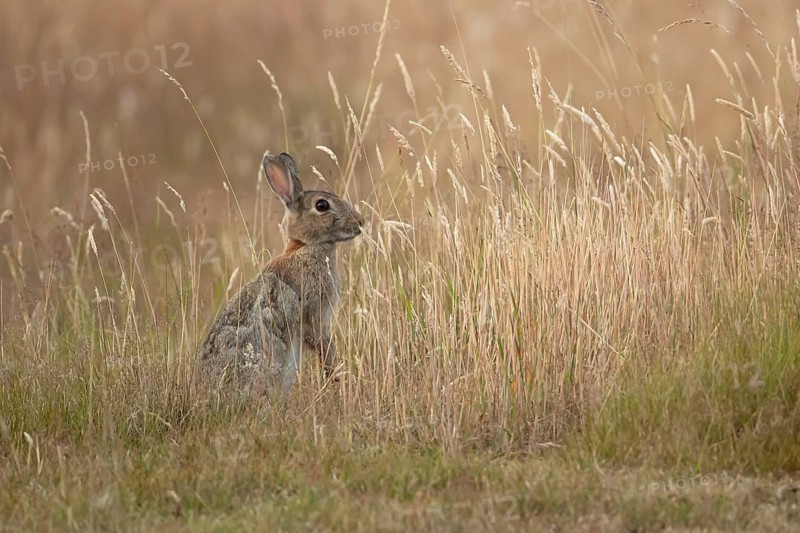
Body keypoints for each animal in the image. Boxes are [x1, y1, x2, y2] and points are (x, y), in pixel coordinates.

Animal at [198, 151, 364, 395]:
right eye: (322, 205)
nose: (360, 222)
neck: (305, 246)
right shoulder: (313, 314)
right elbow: (321, 342)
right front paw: (335, 374)